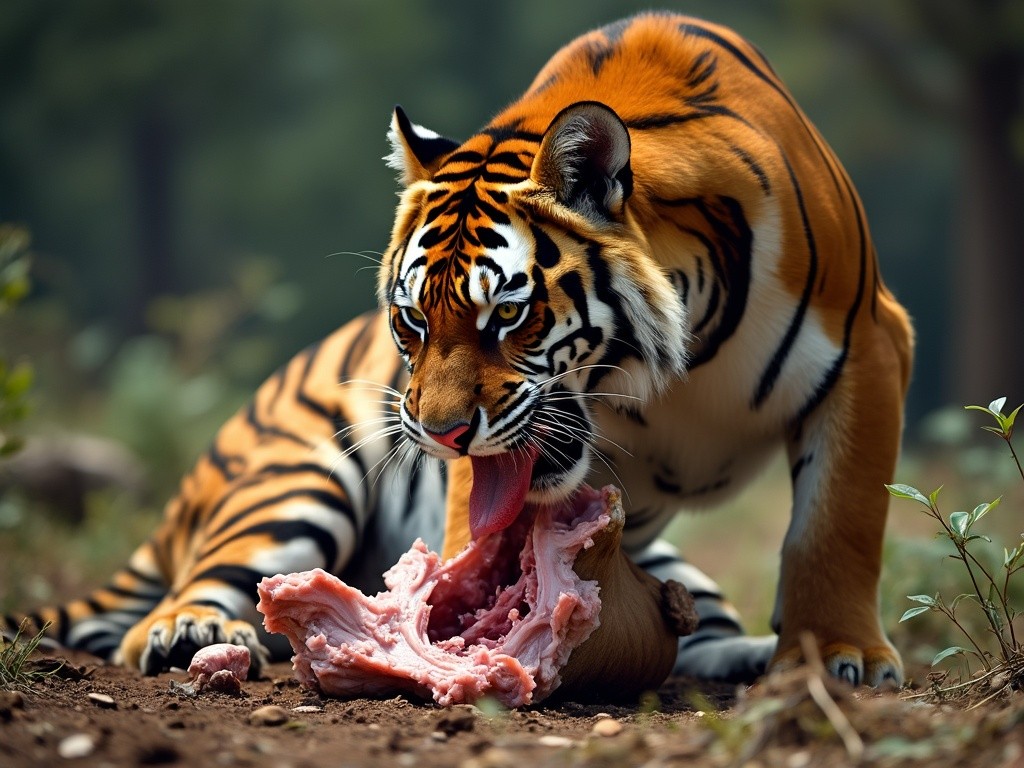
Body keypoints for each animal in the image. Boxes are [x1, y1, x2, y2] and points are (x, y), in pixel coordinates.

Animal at [6, 12, 913, 688]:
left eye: (505, 316)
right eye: (411, 321)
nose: (442, 436)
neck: (676, 367)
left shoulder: (871, 346)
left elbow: (837, 525)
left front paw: (839, 656)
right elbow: (468, 537)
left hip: (675, 564)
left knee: (698, 623)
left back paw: (750, 655)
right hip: (296, 476)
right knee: (181, 597)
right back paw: (187, 630)